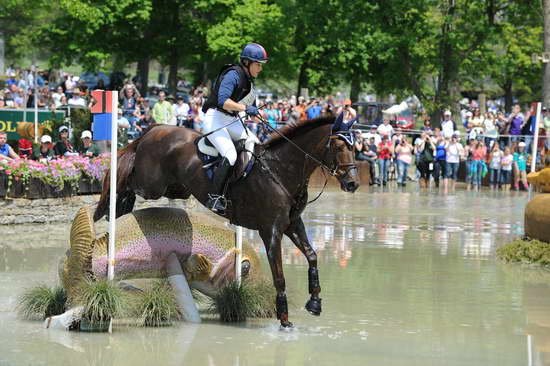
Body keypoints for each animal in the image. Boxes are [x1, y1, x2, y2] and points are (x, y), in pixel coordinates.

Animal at [94, 113, 362, 326]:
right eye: (339, 147)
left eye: (354, 147)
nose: (352, 184)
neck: (282, 170)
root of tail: (156, 129)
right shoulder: (271, 230)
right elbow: (279, 276)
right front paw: (284, 320)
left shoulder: (292, 224)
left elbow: (312, 256)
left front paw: (315, 303)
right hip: (152, 184)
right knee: (127, 177)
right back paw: (113, 204)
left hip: (177, 188)